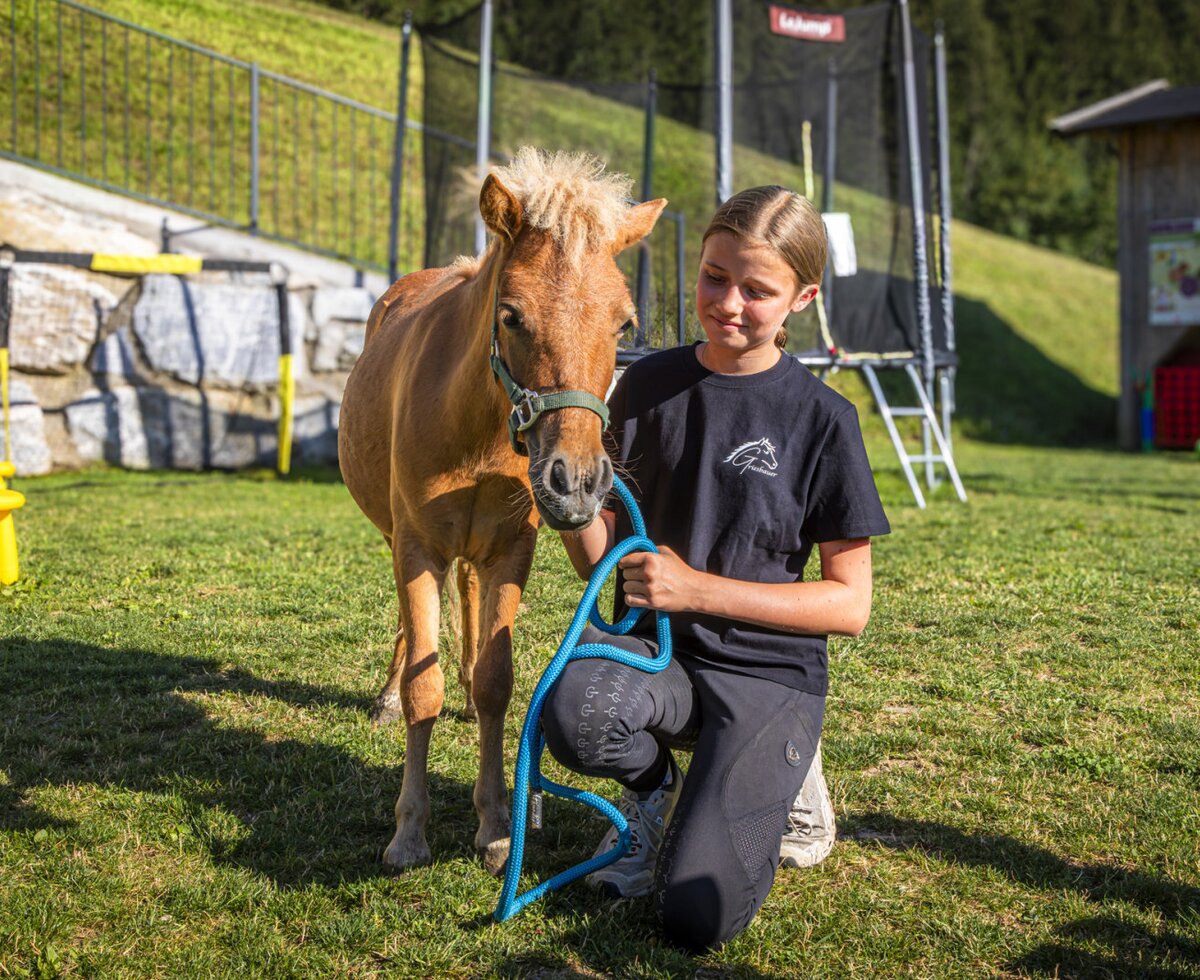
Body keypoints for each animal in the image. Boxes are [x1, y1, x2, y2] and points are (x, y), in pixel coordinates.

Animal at [338, 147, 666, 873]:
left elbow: (496, 680)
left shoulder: (511, 549)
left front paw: (493, 827)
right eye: (512, 315)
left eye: (623, 323)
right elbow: (422, 689)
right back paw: (387, 694)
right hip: (398, 536)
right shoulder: (417, 547)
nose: (576, 482)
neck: (477, 426)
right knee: (414, 635)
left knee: (466, 602)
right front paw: (409, 833)